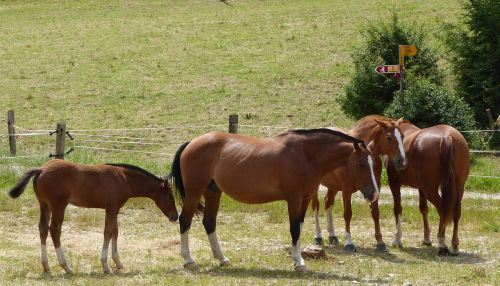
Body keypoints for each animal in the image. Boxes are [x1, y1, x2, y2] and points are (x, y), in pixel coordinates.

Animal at [7, 160, 178, 274]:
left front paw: (118, 263)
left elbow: (115, 232)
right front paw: (105, 265)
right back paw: (66, 267)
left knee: (42, 229)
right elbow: (108, 232)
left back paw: (46, 266)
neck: (124, 178)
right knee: (54, 230)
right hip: (58, 206)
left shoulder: (114, 209)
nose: (175, 216)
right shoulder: (112, 208)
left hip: (44, 205)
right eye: (170, 196)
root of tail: (41, 169)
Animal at [171, 128, 378, 272]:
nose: (373, 194)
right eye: (361, 164)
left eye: (373, 163)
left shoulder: (304, 199)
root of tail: (191, 143)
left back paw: (222, 259)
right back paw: (189, 261)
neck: (306, 154)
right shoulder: (293, 198)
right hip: (194, 192)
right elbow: (294, 229)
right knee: (185, 220)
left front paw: (297, 258)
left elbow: (299, 227)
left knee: (209, 222)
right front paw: (299, 263)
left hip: (213, 192)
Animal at [310, 115, 408, 251]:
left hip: (333, 186)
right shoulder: (346, 189)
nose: (402, 161)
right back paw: (318, 236)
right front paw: (349, 242)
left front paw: (380, 241)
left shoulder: (375, 187)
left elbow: (375, 213)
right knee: (316, 205)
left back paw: (332, 235)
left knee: (328, 202)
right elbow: (347, 213)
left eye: (402, 136)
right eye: (389, 137)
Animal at [384, 120, 470, 255]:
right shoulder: (421, 188)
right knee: (456, 211)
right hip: (458, 186)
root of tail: (446, 137)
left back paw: (442, 243)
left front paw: (397, 240)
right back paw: (454, 246)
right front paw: (426, 239)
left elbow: (397, 209)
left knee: (442, 209)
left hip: (431, 189)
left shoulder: (394, 183)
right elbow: (423, 209)